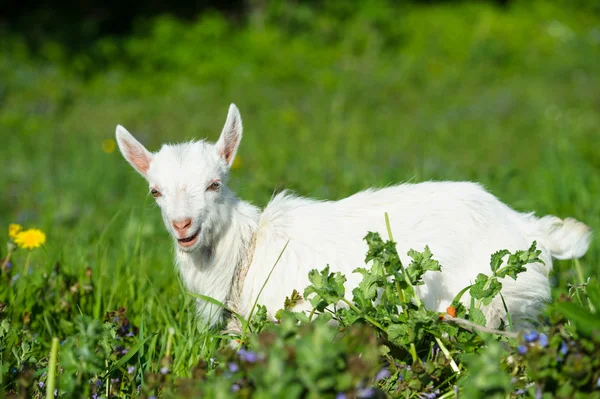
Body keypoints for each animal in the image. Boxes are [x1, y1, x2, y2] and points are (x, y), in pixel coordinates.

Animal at [115, 102, 592, 332]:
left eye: (215, 183)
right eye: (155, 192)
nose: (183, 226)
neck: (248, 248)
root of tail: (528, 228)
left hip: (498, 302)